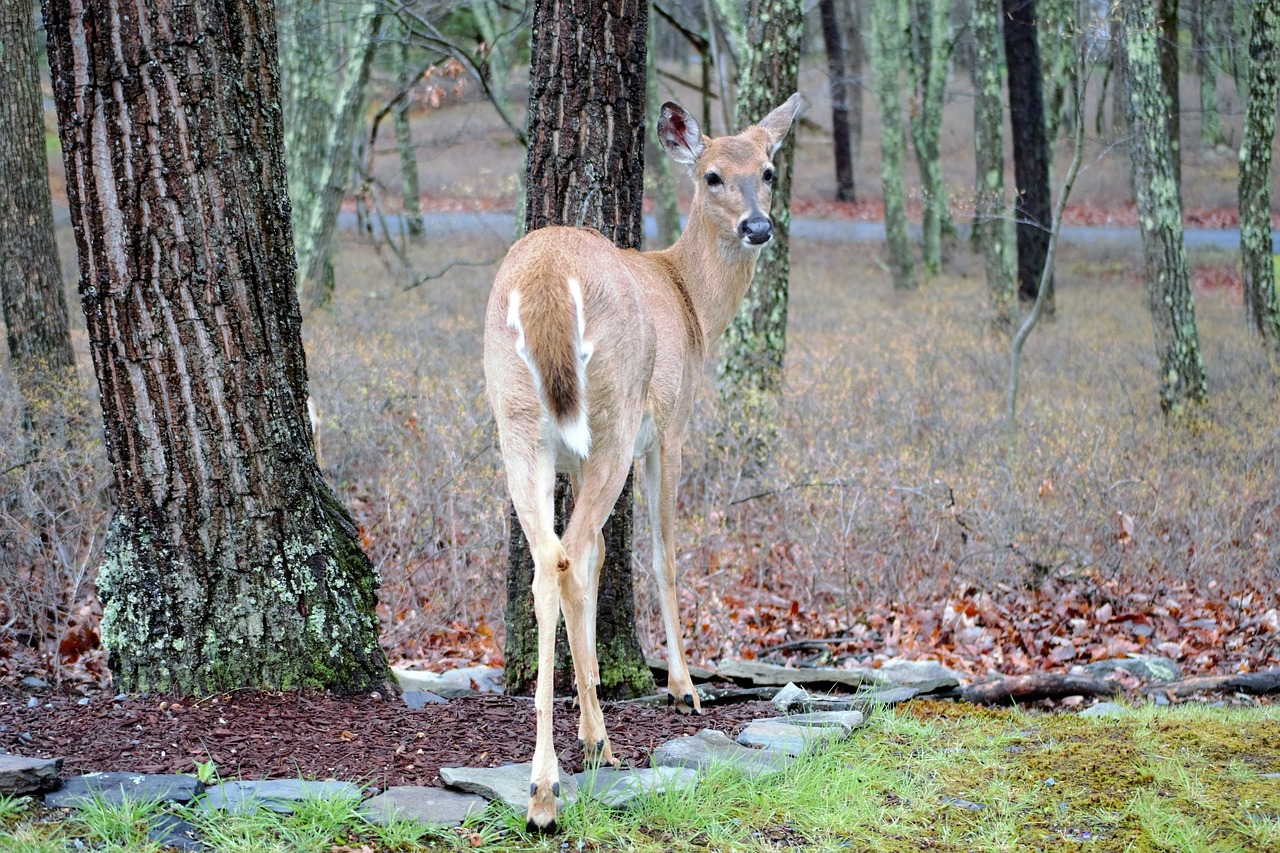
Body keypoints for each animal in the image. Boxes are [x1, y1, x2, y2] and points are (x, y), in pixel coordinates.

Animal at [481, 92, 798, 829]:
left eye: (768, 170)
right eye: (712, 175)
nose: (758, 226)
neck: (690, 301)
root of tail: (547, 282)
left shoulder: (576, 454)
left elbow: (602, 559)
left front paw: (592, 689)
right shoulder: (670, 426)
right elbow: (661, 549)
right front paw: (683, 685)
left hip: (519, 420)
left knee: (550, 558)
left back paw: (559, 766)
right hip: (615, 412)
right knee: (569, 553)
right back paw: (563, 776)